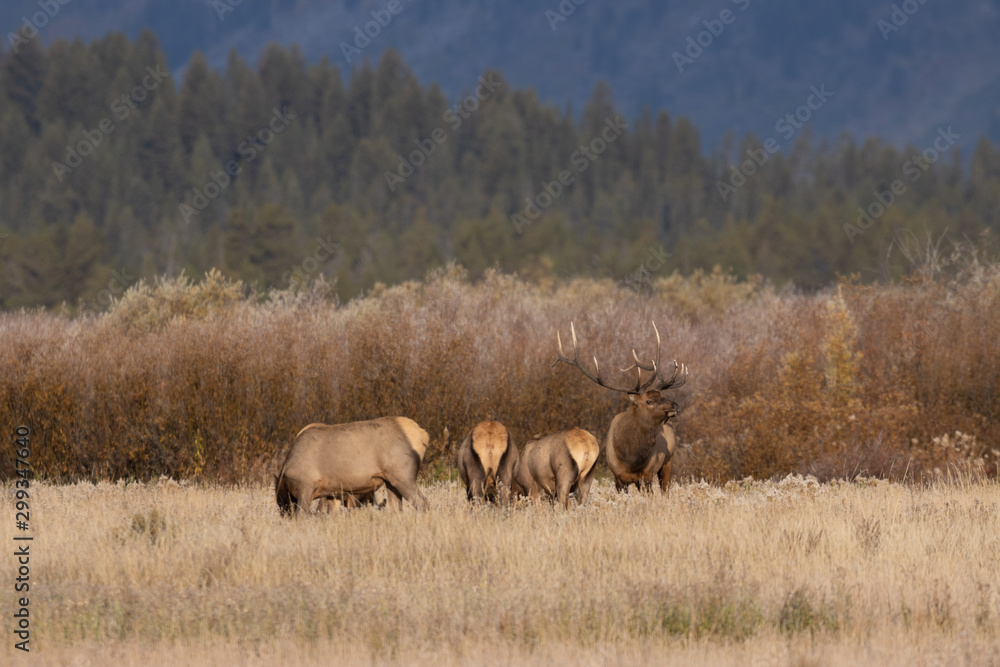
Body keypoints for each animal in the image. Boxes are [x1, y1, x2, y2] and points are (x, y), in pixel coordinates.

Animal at [552, 321, 688, 493]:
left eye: (662, 396)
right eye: (649, 401)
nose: (675, 405)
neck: (631, 457)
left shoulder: (647, 474)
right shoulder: (618, 477)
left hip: (668, 462)